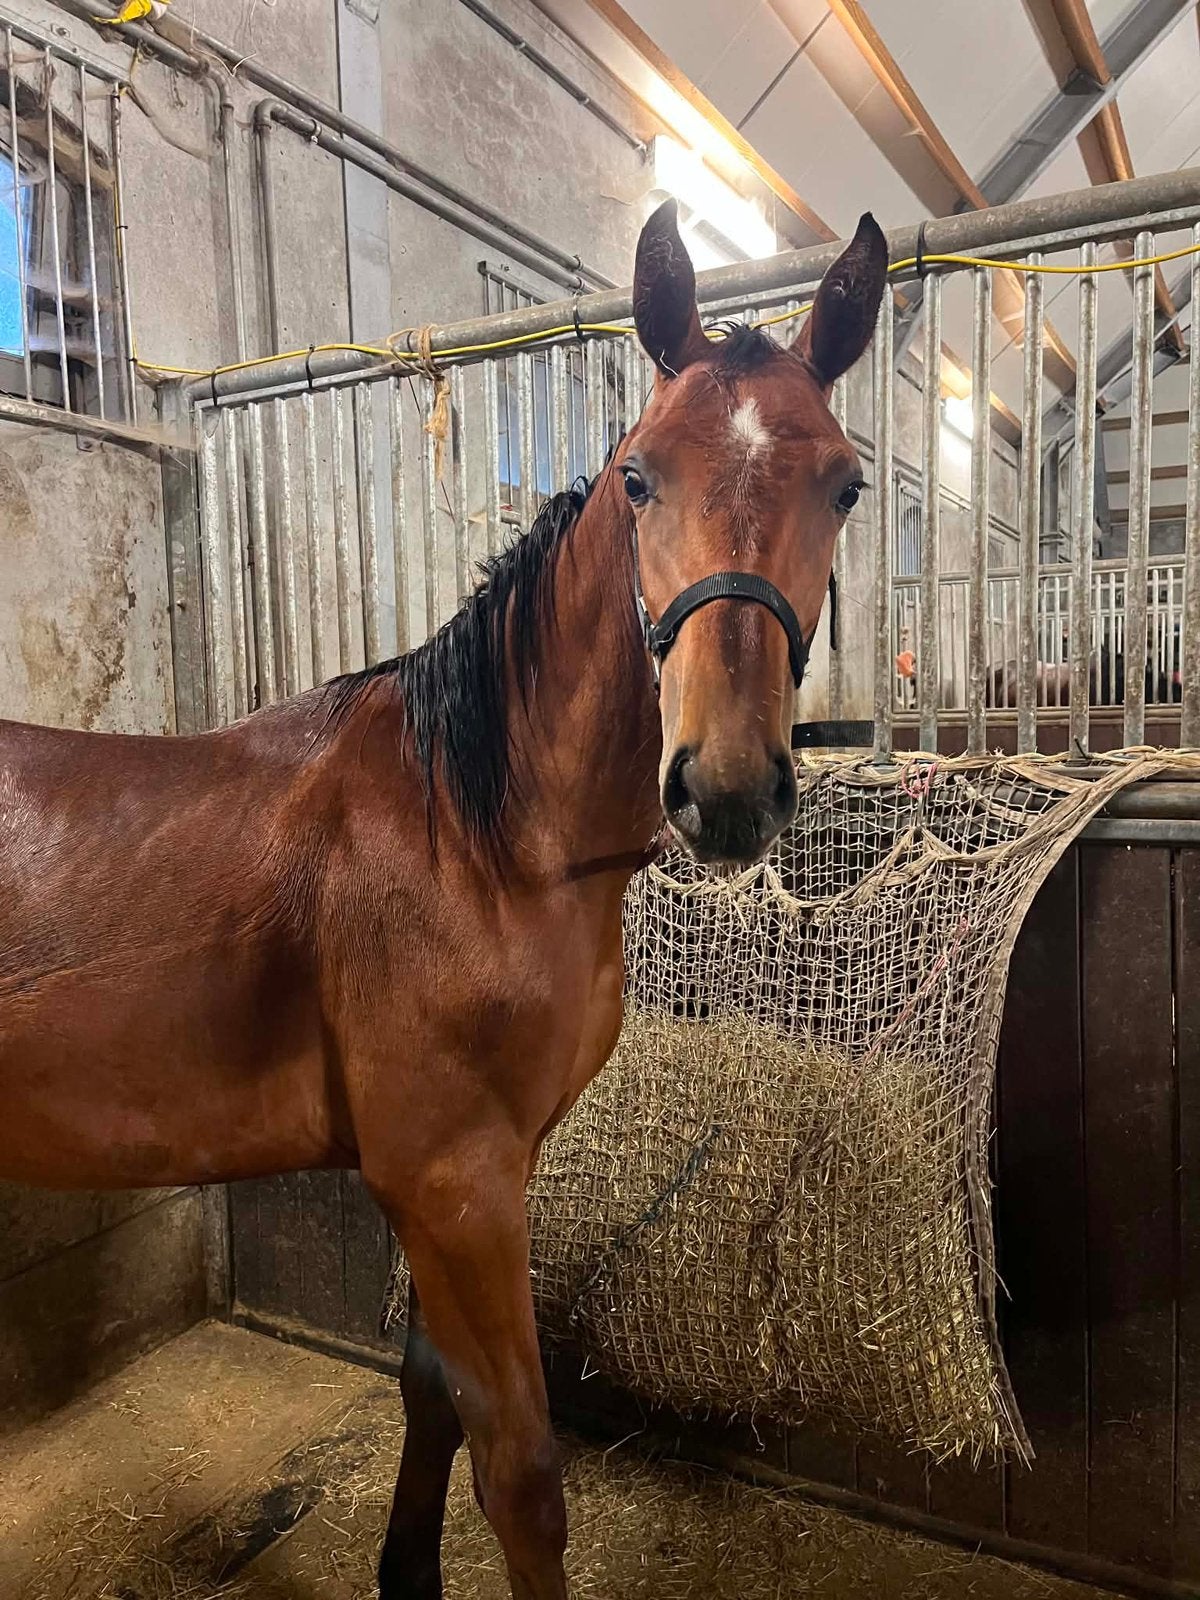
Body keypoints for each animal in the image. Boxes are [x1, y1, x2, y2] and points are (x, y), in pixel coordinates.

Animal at [0, 199, 887, 1599]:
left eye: (843, 483)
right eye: (639, 476)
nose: (728, 788)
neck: (479, 838)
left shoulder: (468, 1176)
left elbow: (430, 1393)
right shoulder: (454, 1180)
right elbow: (518, 1468)